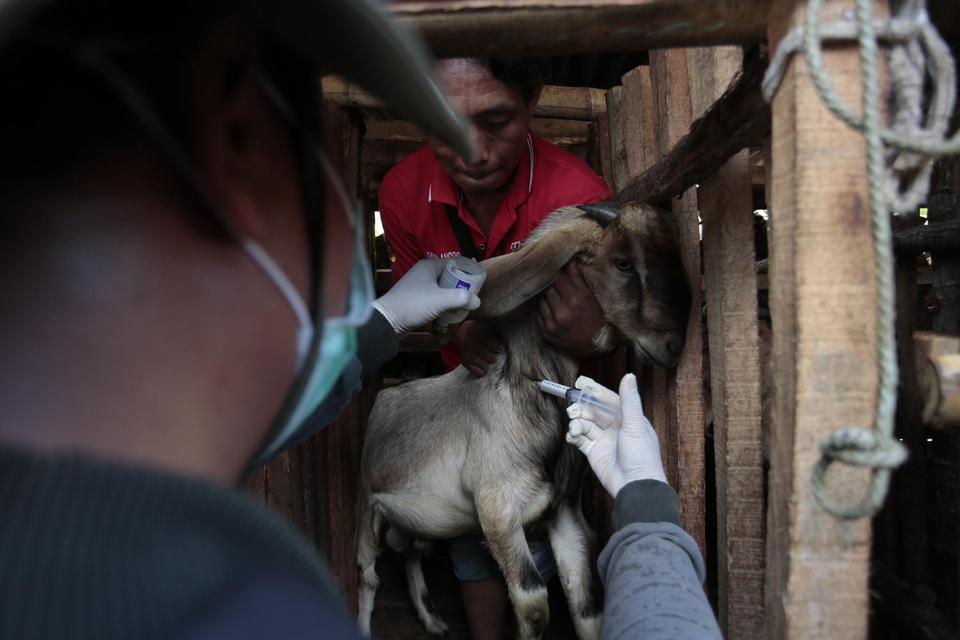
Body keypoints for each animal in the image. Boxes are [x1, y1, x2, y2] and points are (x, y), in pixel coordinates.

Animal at [356, 202, 688, 636]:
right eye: (623, 263)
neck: (527, 390)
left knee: (412, 553)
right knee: (368, 575)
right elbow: (533, 605)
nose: (673, 344)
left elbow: (587, 609)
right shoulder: (497, 511)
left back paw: (434, 620)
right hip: (369, 506)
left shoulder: (565, 515)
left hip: (417, 521)